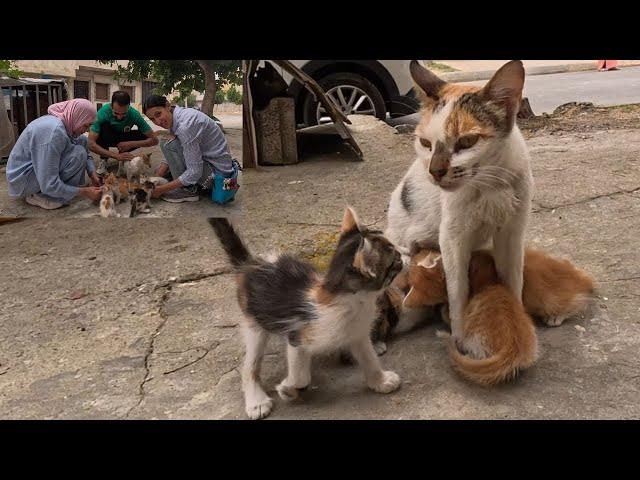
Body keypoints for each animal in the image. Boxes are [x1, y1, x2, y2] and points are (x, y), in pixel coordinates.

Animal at [208, 208, 402, 418]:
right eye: (394, 260)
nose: (402, 252)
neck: (355, 302)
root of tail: (250, 264)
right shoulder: (297, 338)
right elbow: (301, 375)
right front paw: (288, 389)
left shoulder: (357, 334)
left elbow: (369, 358)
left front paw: (380, 380)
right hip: (255, 323)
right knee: (250, 365)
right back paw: (256, 401)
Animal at [388, 59, 532, 342]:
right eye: (425, 143)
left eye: (467, 141)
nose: (435, 171)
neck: (490, 186)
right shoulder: (452, 239)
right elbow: (457, 291)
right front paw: (460, 335)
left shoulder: (512, 232)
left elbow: (513, 279)